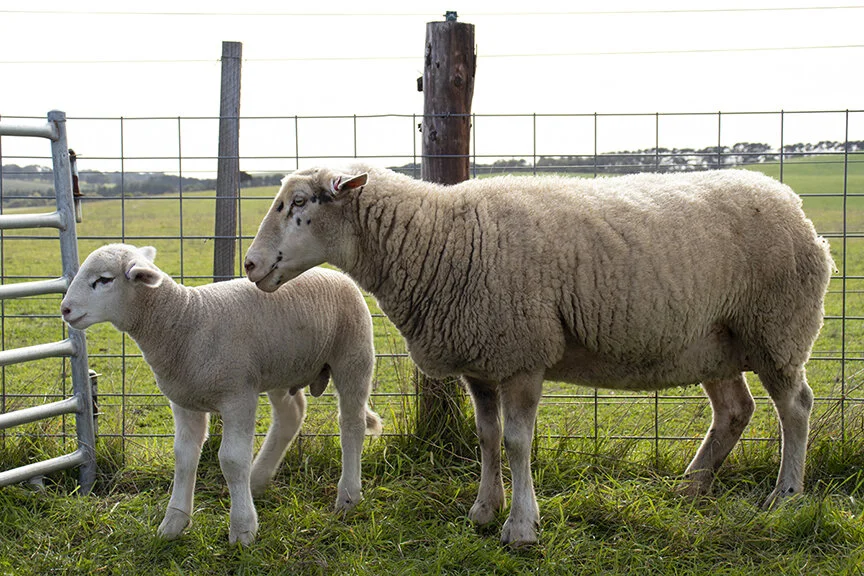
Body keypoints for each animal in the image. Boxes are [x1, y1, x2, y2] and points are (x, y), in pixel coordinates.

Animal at [60, 243, 382, 546]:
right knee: (290, 416)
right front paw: (173, 523)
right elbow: (184, 457)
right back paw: (257, 480)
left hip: (353, 356)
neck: (183, 319)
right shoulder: (184, 401)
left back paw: (348, 496)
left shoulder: (238, 395)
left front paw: (242, 529)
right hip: (280, 368)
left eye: (104, 280)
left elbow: (231, 460)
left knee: (351, 424)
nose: (64, 309)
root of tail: (334, 274)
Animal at [243, 165, 833, 547]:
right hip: (713, 341)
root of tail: (794, 204)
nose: (249, 266)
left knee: (795, 408)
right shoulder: (482, 361)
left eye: (300, 204)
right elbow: (486, 438)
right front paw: (484, 510)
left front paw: (522, 527)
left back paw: (785, 494)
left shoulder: (524, 354)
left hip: (777, 328)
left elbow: (517, 441)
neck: (437, 236)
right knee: (735, 410)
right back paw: (691, 487)